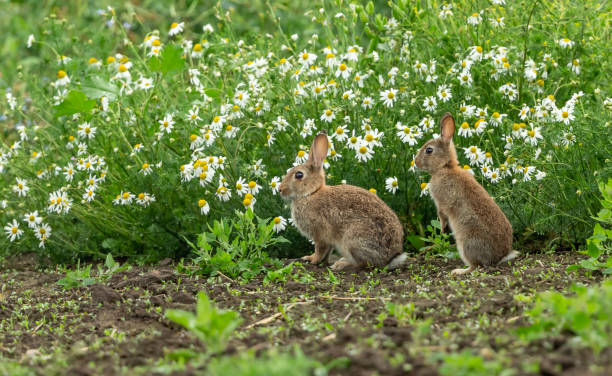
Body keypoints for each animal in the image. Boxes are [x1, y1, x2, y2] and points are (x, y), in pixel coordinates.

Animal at [280, 131, 406, 270]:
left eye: (299, 175)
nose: (280, 189)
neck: (311, 193)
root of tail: (390, 259)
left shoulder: (320, 234)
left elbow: (320, 249)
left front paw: (312, 259)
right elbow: (327, 252)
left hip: (352, 240)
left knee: (364, 264)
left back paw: (341, 264)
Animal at [416, 113, 516, 274]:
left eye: (429, 150)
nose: (416, 162)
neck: (445, 167)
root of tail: (499, 257)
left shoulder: (441, 203)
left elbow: (442, 215)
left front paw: (443, 229)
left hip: (466, 244)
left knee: (476, 266)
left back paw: (458, 271)